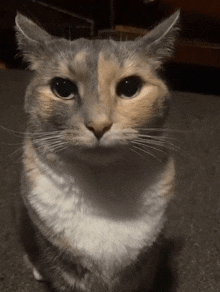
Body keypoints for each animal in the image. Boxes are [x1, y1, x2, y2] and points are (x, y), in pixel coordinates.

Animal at [15, 10, 179, 292]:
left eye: (130, 87)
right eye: (62, 88)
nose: (99, 124)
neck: (104, 189)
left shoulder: (146, 265)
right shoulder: (61, 263)